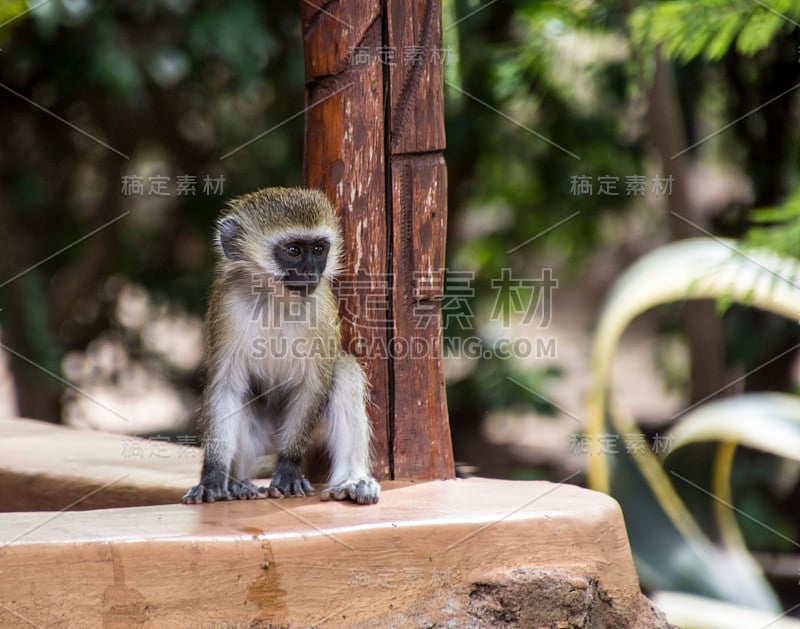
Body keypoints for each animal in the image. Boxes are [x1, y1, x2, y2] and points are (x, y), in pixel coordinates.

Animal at [183, 186, 380, 506]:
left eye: (318, 249)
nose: (311, 273)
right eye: (293, 251)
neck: (276, 297)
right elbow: (226, 388)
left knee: (343, 369)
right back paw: (239, 483)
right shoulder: (227, 304)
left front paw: (288, 468)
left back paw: (352, 479)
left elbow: (314, 384)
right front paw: (212, 476)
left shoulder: (320, 309)